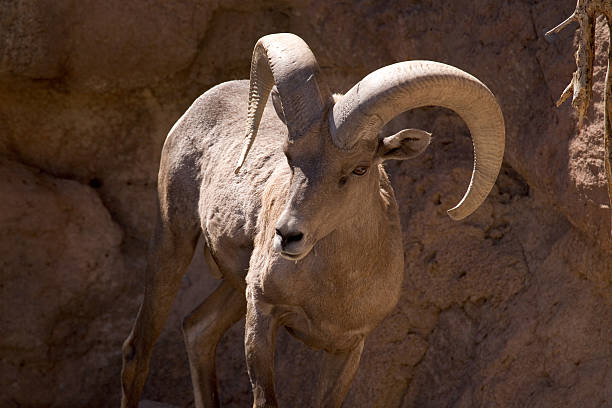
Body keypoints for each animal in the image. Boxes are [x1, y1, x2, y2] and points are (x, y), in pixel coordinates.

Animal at [118, 32, 502, 408]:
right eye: (290, 158)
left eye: (360, 168)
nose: (287, 235)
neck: (334, 288)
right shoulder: (262, 314)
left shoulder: (348, 349)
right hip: (173, 238)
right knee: (138, 350)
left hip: (232, 286)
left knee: (198, 330)